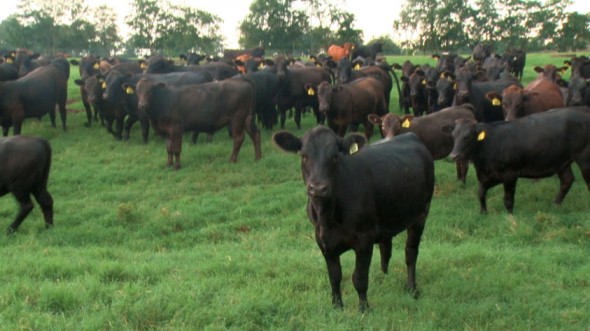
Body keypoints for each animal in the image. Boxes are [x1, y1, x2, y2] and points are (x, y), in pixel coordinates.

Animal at [134, 77, 264, 169]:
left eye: (151, 90)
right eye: (137, 91)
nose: (142, 105)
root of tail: (240, 80)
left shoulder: (176, 128)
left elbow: (176, 149)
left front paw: (177, 166)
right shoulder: (165, 132)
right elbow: (169, 149)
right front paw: (168, 164)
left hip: (237, 118)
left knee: (238, 138)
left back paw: (232, 160)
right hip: (247, 118)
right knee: (255, 134)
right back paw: (258, 158)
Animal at [272, 126, 434, 312]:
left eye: (335, 156)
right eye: (304, 155)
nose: (318, 188)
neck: (328, 217)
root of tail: (410, 135)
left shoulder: (365, 238)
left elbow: (359, 277)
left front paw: (364, 308)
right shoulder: (322, 240)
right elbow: (334, 276)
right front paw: (337, 306)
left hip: (421, 214)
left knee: (411, 253)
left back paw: (412, 289)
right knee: (386, 248)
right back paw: (385, 277)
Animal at [448, 107, 590, 214]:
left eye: (467, 137)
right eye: (453, 135)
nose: (454, 155)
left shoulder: (510, 174)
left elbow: (508, 199)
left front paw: (510, 217)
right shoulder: (487, 176)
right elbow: (481, 194)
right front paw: (483, 214)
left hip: (584, 158)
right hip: (562, 161)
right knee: (567, 180)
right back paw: (555, 204)